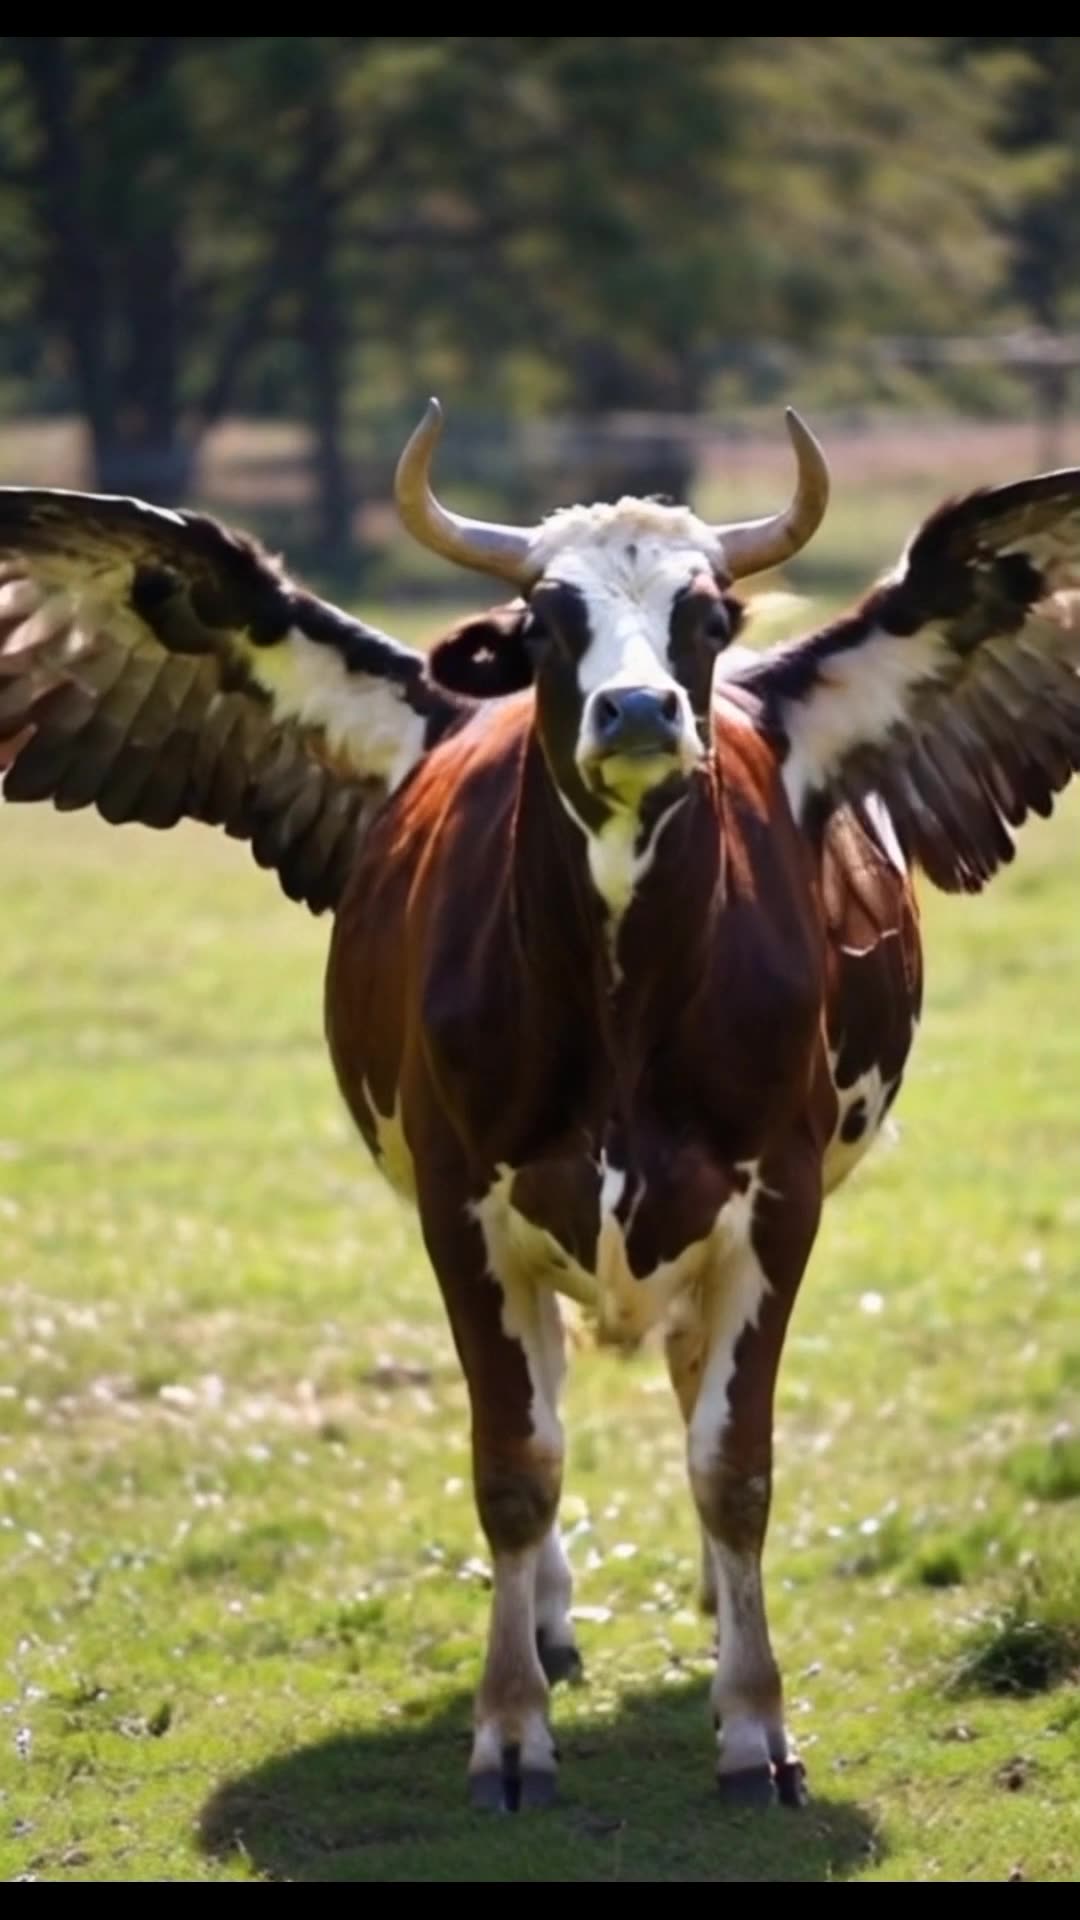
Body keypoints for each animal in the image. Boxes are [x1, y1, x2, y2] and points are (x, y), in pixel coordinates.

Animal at [2, 403, 1080, 1815]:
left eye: (704, 616)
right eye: (548, 619)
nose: (638, 709)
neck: (622, 976)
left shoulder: (775, 1202)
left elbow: (734, 1466)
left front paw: (755, 1720)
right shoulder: (464, 1209)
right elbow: (516, 1469)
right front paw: (510, 1727)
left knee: (685, 1388)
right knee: (553, 1398)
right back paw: (557, 1618)